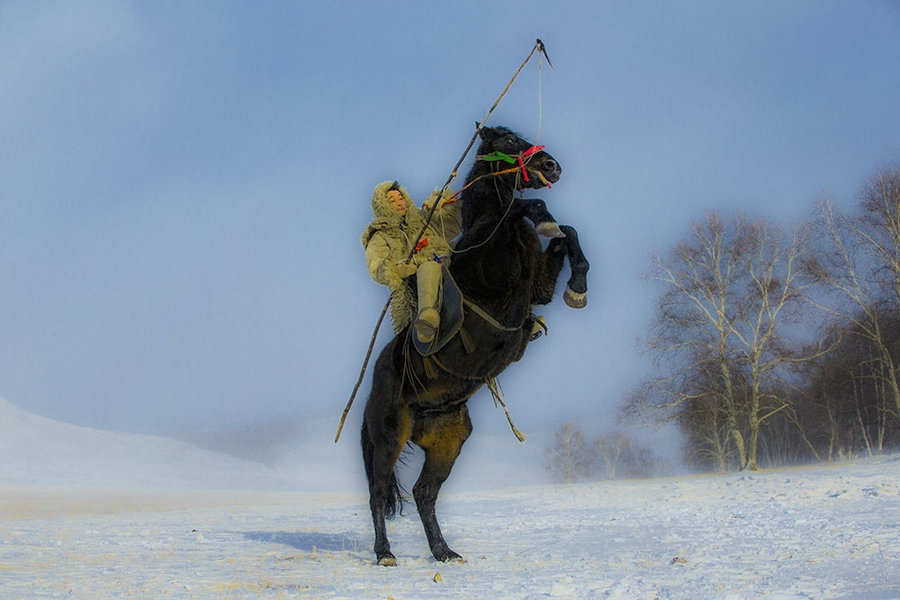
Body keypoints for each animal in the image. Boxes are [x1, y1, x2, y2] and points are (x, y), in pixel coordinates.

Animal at [360, 124, 592, 564]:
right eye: (509, 141)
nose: (551, 165)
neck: (484, 229)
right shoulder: (499, 270)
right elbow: (526, 209)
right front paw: (543, 219)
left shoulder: (539, 286)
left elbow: (567, 236)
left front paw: (578, 287)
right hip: (388, 436)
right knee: (379, 493)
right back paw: (385, 554)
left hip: (448, 440)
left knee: (423, 493)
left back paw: (443, 552)